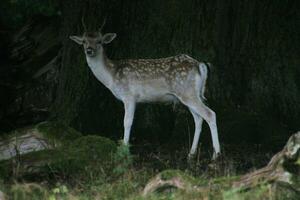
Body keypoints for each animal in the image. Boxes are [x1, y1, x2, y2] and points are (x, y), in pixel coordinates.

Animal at [70, 20, 220, 159]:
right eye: (84, 41)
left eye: (100, 41)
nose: (89, 50)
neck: (112, 76)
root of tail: (200, 65)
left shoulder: (129, 96)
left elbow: (127, 122)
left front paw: (124, 150)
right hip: (189, 94)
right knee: (199, 119)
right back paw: (191, 154)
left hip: (187, 92)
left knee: (210, 114)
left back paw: (216, 155)